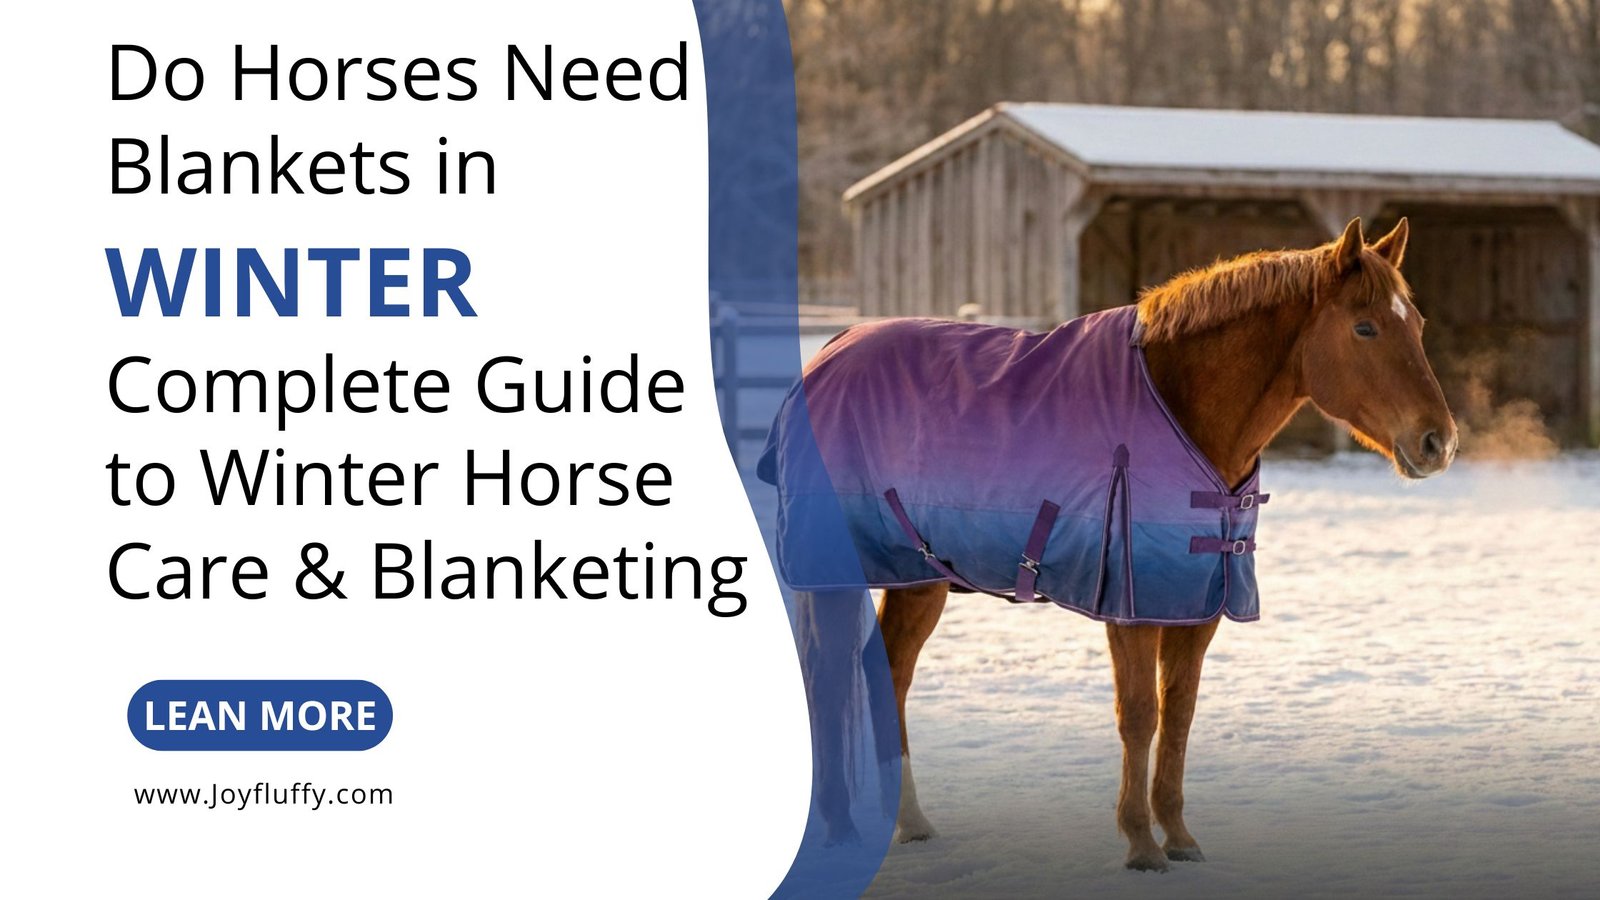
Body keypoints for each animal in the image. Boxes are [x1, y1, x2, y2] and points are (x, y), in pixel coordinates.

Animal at [770, 217, 1458, 871]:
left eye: (1418, 323)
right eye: (1365, 328)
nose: (1439, 442)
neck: (1180, 405)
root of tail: (828, 354)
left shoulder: (1194, 604)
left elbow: (1179, 713)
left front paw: (1179, 837)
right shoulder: (1132, 604)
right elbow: (1140, 714)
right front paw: (1141, 845)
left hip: (919, 579)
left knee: (889, 672)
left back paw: (910, 822)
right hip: (839, 575)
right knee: (831, 679)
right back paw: (841, 827)